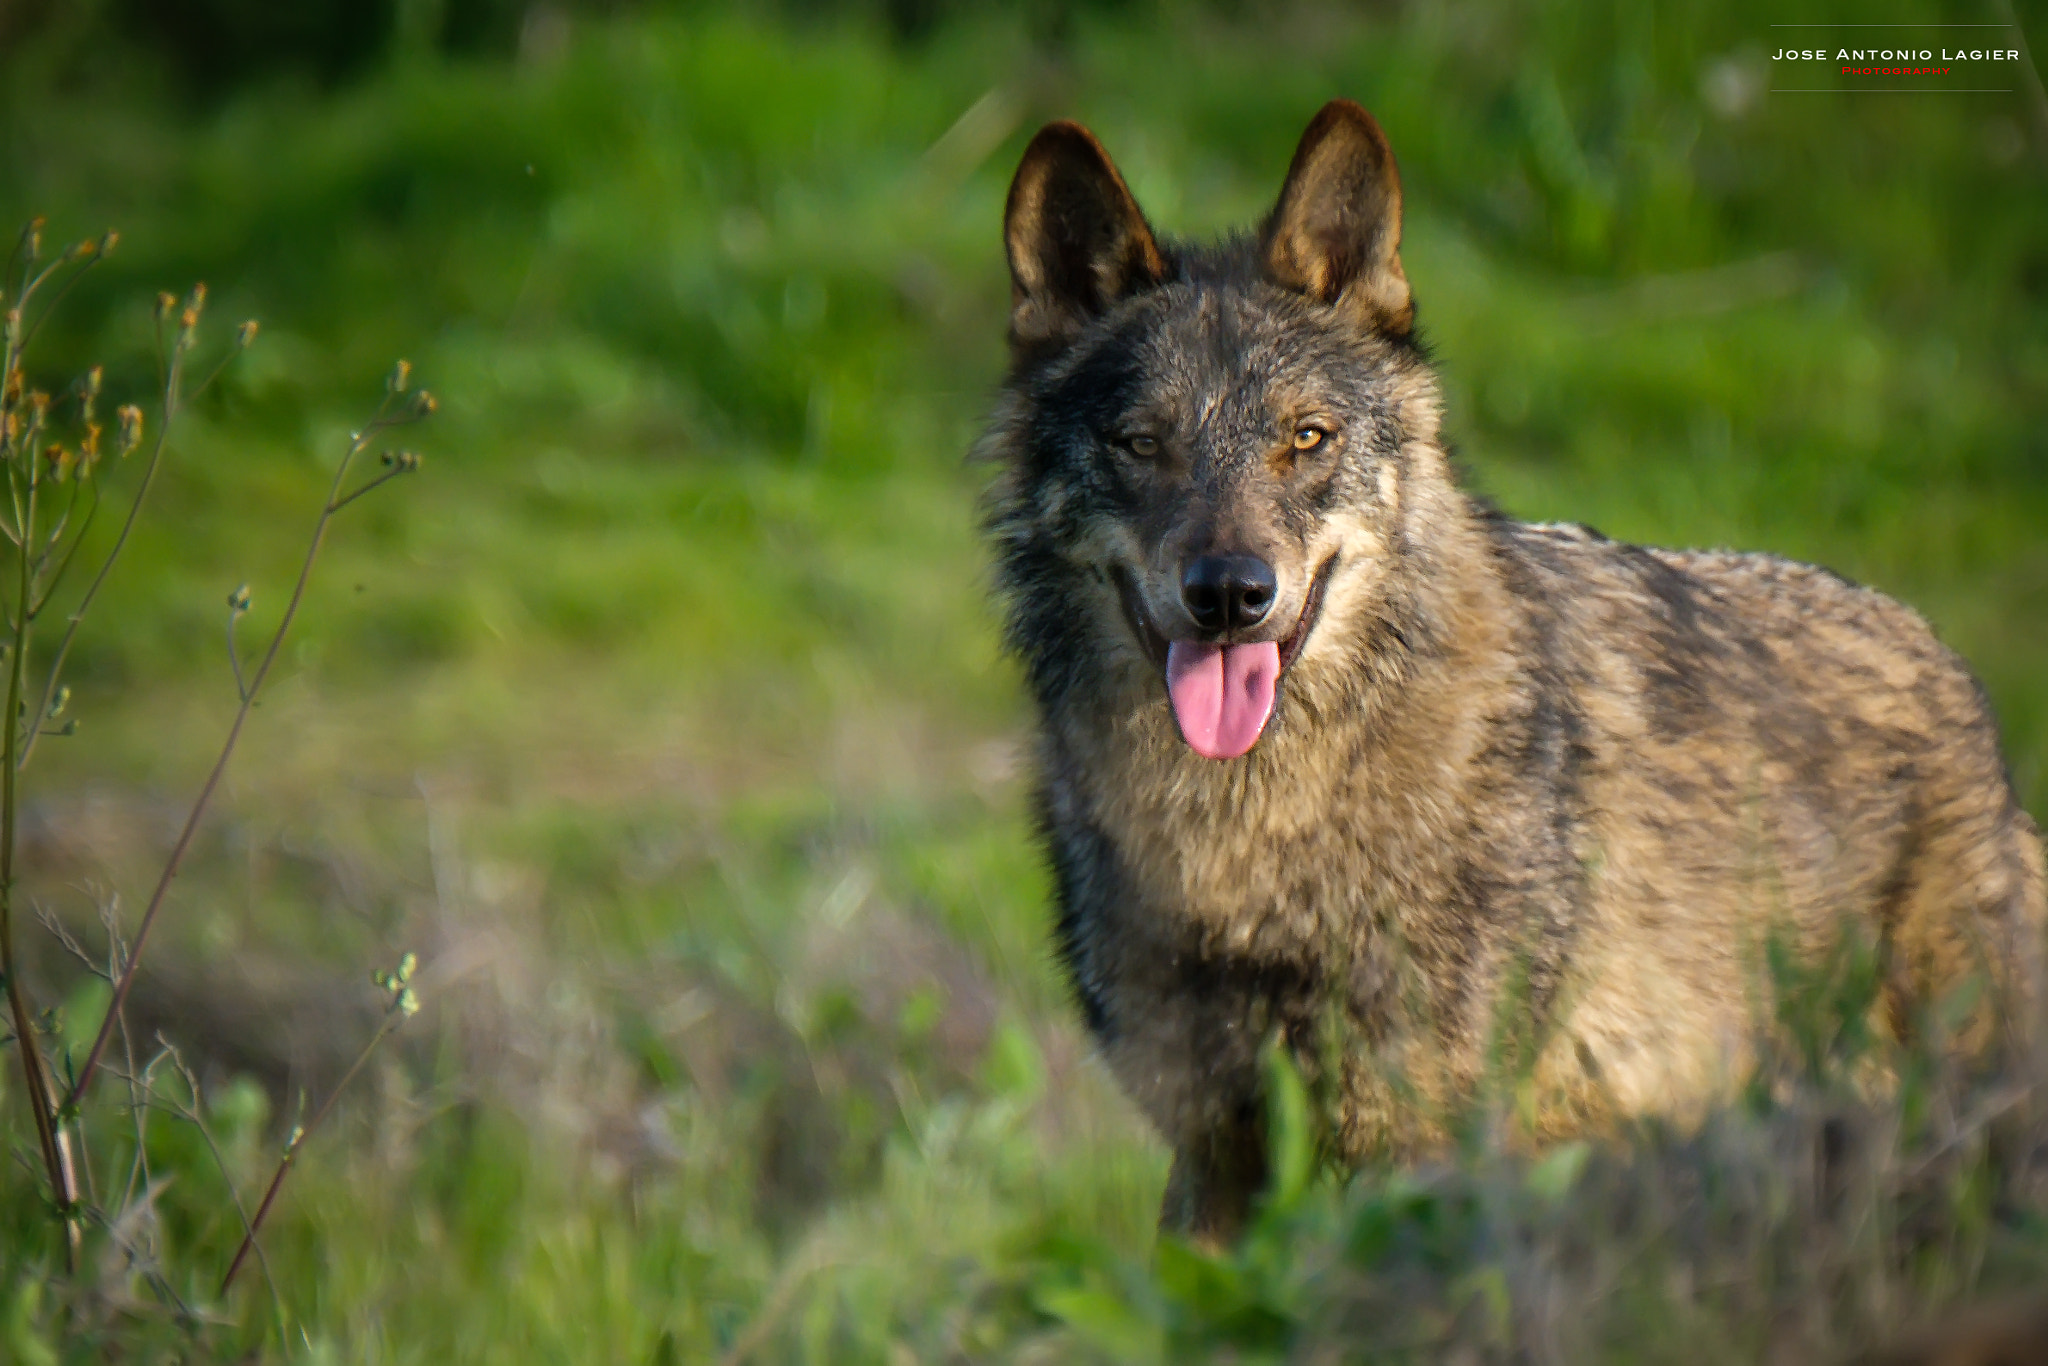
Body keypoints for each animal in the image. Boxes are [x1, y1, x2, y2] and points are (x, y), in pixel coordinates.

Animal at [978, 101, 2048, 1245]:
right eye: (1141, 443)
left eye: (1306, 438)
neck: (1244, 843)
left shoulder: (1420, 1146)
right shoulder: (1214, 1152)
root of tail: (1955, 676)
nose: (1229, 593)